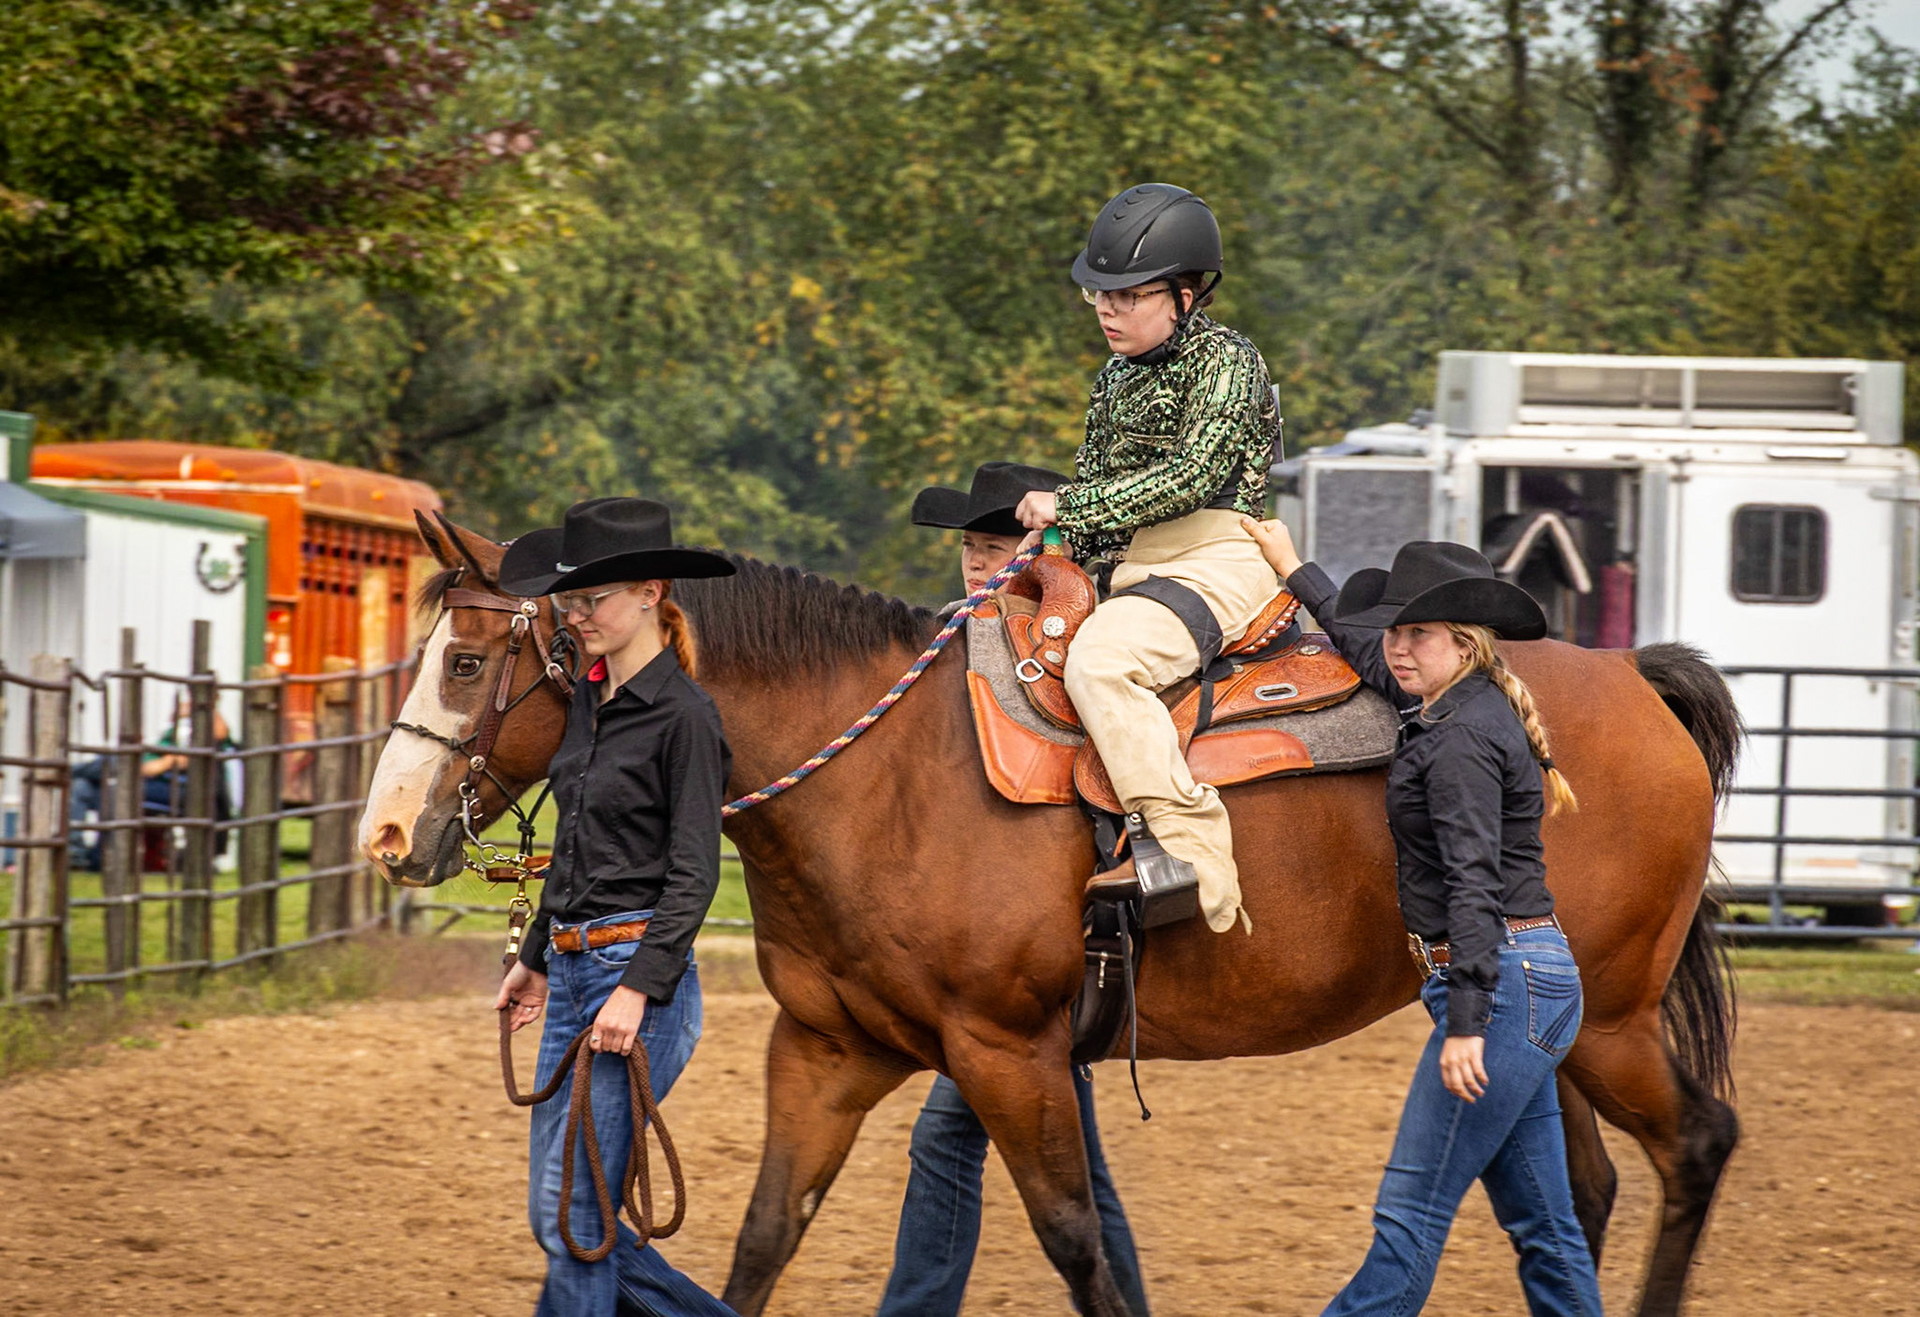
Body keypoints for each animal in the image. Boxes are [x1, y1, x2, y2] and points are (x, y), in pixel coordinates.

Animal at [360, 513, 1741, 1317]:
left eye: (471, 662)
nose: (386, 836)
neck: (886, 775)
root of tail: (1632, 681)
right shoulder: (828, 1053)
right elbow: (761, 1240)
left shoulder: (1005, 1055)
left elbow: (1078, 1241)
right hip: (1542, 1026)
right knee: (1585, 1189)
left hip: (1608, 1018)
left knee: (1695, 1147)